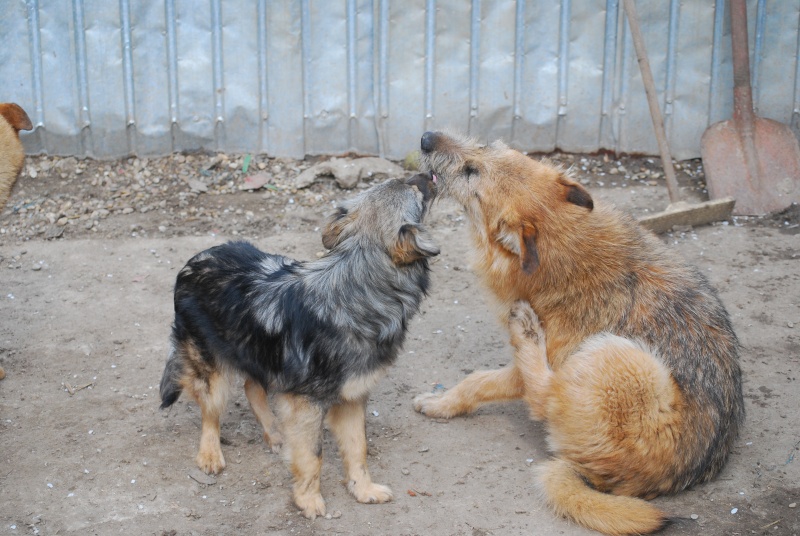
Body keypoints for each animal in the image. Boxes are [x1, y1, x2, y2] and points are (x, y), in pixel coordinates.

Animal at [159, 174, 438, 516]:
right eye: (411, 188)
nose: (428, 174)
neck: (356, 287)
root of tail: (195, 260)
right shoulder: (304, 403)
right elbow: (312, 455)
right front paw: (308, 499)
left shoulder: (351, 397)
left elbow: (358, 448)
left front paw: (363, 489)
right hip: (213, 368)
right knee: (210, 410)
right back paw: (210, 454)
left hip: (257, 351)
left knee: (252, 387)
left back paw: (275, 433)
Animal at [412, 131, 744, 536]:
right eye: (490, 147)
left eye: (471, 171)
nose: (426, 138)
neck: (569, 246)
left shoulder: (530, 369)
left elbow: (478, 381)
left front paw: (441, 403)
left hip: (620, 357)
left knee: (543, 398)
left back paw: (526, 330)